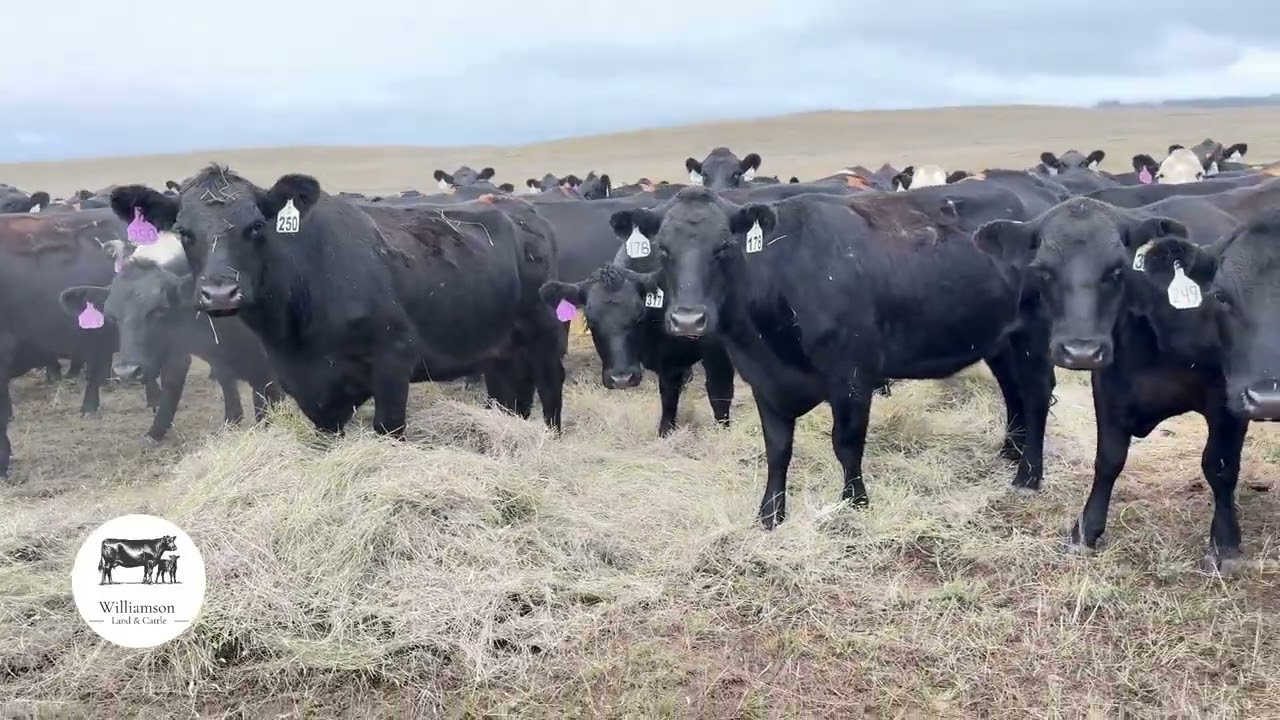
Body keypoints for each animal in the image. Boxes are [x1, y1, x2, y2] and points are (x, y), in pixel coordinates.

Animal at [108, 166, 565, 436]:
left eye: (256, 226)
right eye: (184, 232)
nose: (220, 292)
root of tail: (521, 208)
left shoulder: (393, 362)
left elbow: (389, 429)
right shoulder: (308, 386)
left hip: (544, 333)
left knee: (550, 388)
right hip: (500, 348)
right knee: (511, 396)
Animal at [621, 185, 1053, 528]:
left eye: (723, 246)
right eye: (663, 249)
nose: (687, 318)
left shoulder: (852, 376)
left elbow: (846, 443)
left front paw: (855, 502)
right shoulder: (763, 380)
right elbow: (777, 448)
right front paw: (770, 514)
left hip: (1035, 337)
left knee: (1035, 396)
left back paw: (1028, 476)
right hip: (1000, 340)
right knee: (1012, 391)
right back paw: (1009, 452)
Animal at [972, 196, 1247, 571]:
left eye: (1117, 271)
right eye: (1044, 271)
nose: (1081, 350)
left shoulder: (1230, 399)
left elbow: (1220, 466)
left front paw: (1224, 543)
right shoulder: (1109, 385)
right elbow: (1108, 459)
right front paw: (1086, 530)